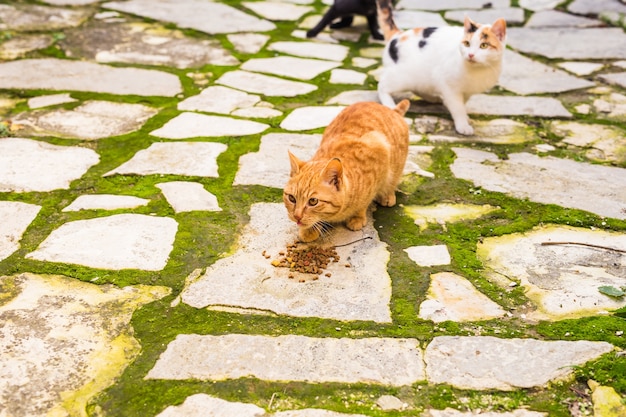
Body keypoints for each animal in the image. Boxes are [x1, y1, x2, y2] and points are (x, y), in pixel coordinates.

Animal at [282, 99, 410, 242]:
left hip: (396, 163)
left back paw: (387, 195)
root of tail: (390, 109)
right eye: (291, 198)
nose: (297, 216)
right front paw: (309, 229)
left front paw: (357, 217)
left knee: (393, 180)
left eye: (313, 201)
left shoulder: (380, 152)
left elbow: (365, 201)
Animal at [372, 0, 504, 135]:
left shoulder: (466, 91)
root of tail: (398, 35)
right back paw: (390, 106)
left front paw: (466, 117)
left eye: (484, 45)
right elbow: (457, 107)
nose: (471, 54)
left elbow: (462, 103)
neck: (478, 70)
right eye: (467, 43)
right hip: (403, 77)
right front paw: (463, 125)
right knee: (382, 85)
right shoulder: (449, 87)